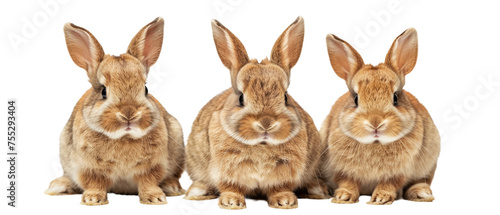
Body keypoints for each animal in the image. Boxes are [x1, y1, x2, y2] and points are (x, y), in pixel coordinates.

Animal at [44, 17, 186, 206]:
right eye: (103, 91)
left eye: (146, 89)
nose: (129, 114)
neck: (124, 137)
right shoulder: (89, 168)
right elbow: (95, 183)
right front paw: (92, 199)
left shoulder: (152, 167)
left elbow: (148, 182)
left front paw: (155, 198)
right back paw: (59, 186)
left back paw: (171, 187)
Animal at [183, 16, 328, 210]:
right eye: (241, 98)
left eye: (285, 97)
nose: (266, 123)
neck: (261, 145)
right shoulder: (226, 169)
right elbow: (231, 187)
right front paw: (231, 202)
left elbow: (279, 187)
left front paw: (285, 201)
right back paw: (197, 192)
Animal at [320, 28, 442, 205]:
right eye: (356, 99)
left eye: (396, 97)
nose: (375, 123)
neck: (375, 143)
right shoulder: (341, 169)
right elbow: (347, 181)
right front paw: (343, 196)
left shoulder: (399, 172)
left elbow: (389, 183)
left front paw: (380, 198)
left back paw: (421, 193)